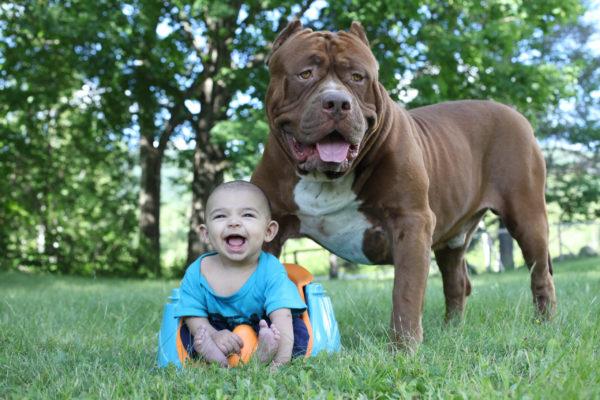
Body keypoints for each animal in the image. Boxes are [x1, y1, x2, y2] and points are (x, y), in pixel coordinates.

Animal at [251, 20, 556, 348]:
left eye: (357, 77)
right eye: (305, 73)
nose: (336, 102)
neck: (325, 178)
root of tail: (514, 113)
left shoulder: (411, 221)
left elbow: (406, 291)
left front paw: (404, 348)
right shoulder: (270, 229)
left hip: (527, 217)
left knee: (540, 274)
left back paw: (544, 324)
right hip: (453, 238)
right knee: (457, 280)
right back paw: (452, 330)